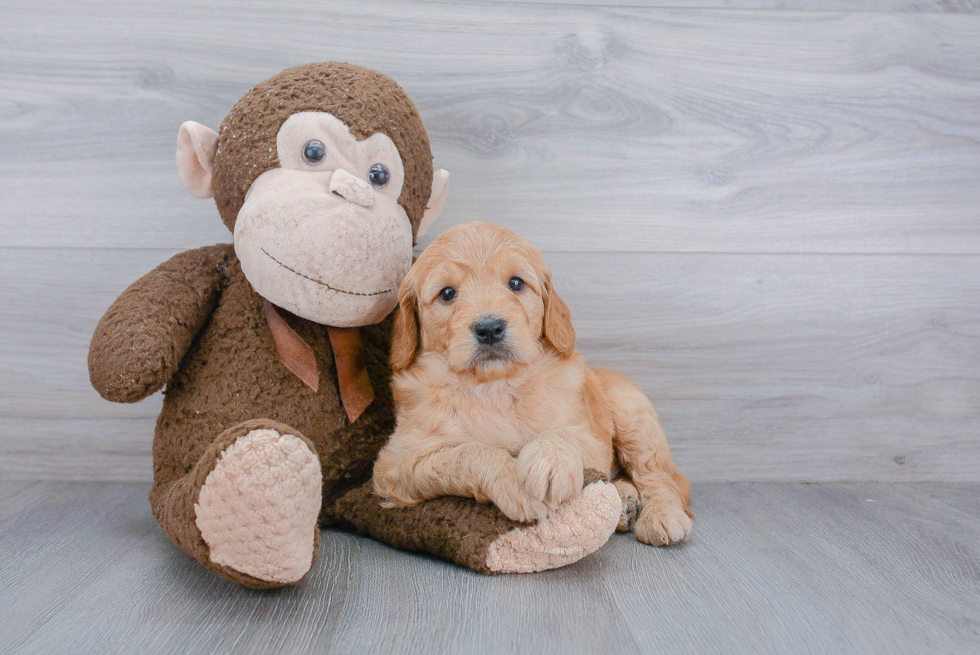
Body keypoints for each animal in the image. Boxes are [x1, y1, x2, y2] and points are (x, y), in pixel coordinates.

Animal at [372, 223, 692, 544]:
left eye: (516, 283)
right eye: (447, 293)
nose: (490, 328)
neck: (494, 387)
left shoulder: (591, 442)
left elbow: (563, 434)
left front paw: (549, 460)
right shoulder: (396, 463)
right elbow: (468, 452)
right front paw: (514, 483)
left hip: (633, 414)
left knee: (662, 477)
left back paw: (661, 516)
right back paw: (625, 501)